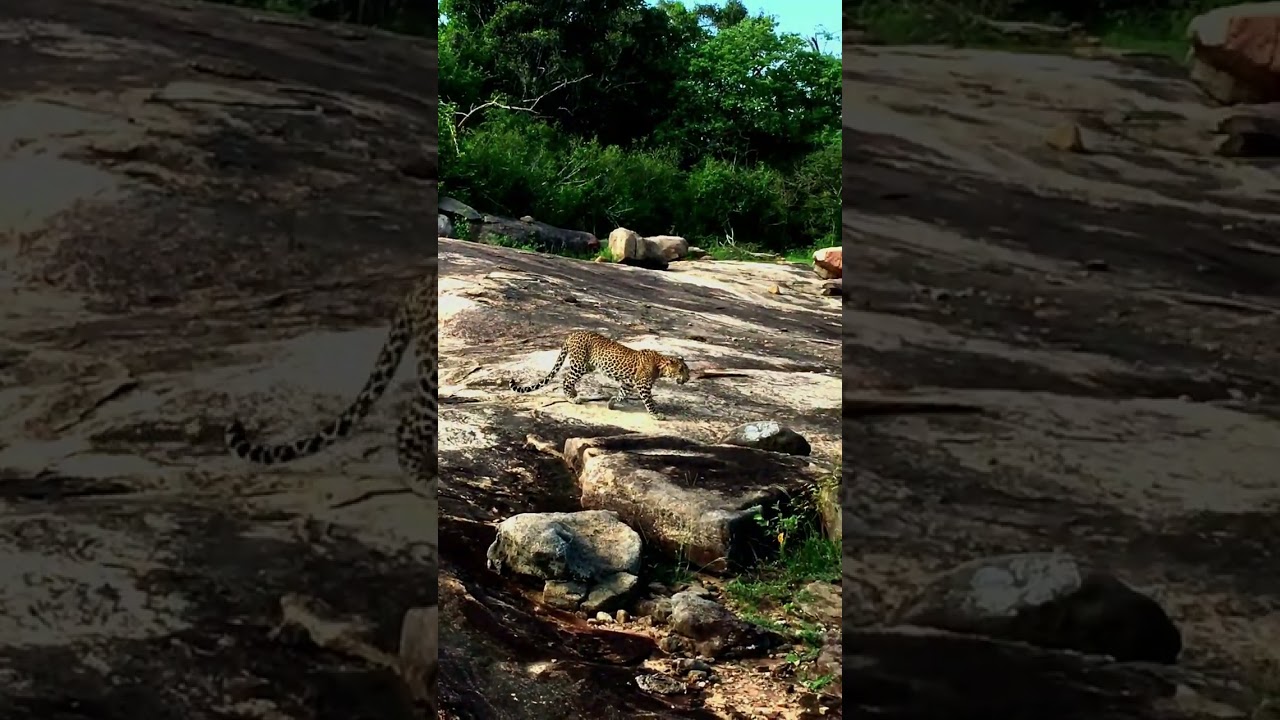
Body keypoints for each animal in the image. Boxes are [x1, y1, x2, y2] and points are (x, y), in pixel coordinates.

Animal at [508, 330, 689, 419]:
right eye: (681, 369)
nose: (687, 378)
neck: (660, 365)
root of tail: (572, 335)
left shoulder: (628, 383)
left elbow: (621, 394)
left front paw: (611, 403)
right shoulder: (643, 385)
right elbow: (649, 402)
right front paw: (656, 414)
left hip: (587, 366)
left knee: (570, 380)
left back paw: (574, 393)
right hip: (579, 364)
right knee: (566, 379)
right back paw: (572, 398)